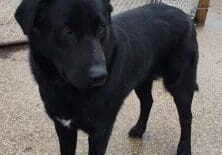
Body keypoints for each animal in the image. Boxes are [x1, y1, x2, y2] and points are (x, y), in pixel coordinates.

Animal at [15, 0, 199, 154]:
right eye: (67, 30)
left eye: (101, 28)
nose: (100, 76)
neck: (67, 88)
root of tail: (186, 15)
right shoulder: (63, 128)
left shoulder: (100, 132)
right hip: (142, 79)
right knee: (148, 102)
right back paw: (139, 129)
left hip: (180, 85)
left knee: (186, 117)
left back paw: (184, 147)